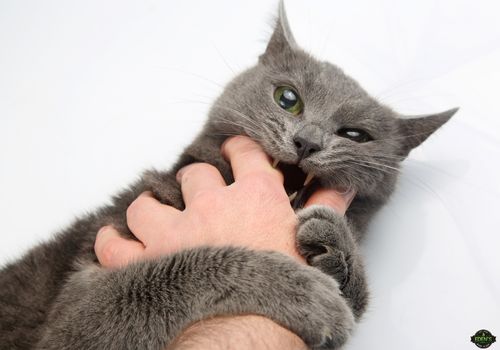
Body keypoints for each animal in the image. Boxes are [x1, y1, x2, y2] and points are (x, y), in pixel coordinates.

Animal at [0, 2, 458, 350]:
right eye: (288, 98)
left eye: (355, 135)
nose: (307, 141)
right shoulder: (72, 318)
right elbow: (161, 275)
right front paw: (304, 292)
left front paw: (336, 244)